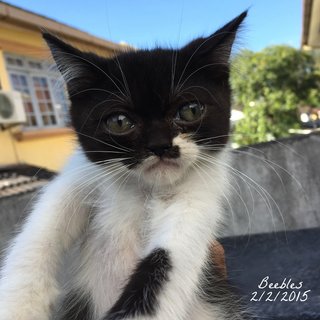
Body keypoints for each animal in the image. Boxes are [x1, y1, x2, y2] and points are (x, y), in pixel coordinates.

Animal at [0, 11, 250, 318]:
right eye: (120, 121)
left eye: (191, 110)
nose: (160, 146)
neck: (141, 190)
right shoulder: (78, 175)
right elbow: (41, 232)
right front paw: (17, 304)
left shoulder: (199, 197)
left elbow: (168, 261)